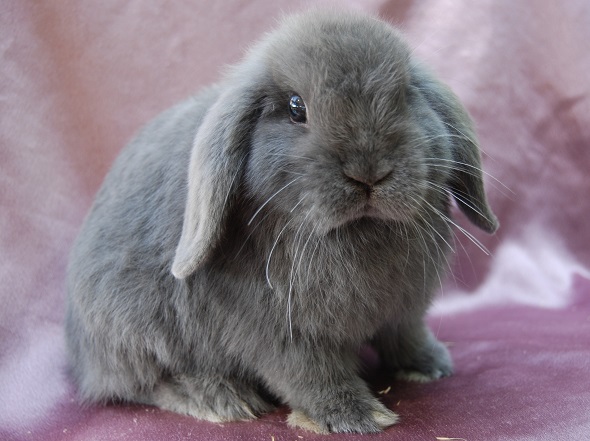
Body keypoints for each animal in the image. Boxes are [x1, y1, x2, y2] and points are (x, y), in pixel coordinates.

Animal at [65, 6, 500, 434]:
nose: (369, 173)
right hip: (131, 329)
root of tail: (79, 358)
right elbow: (309, 375)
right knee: (141, 382)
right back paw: (219, 398)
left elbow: (406, 336)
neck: (356, 232)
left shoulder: (404, 313)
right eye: (295, 107)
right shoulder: (281, 336)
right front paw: (356, 416)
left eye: (407, 94)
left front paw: (431, 365)